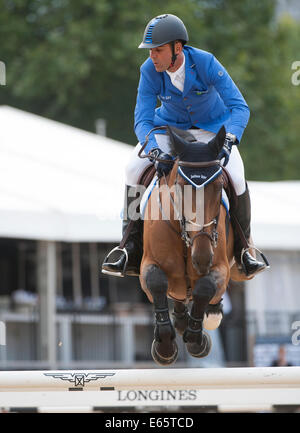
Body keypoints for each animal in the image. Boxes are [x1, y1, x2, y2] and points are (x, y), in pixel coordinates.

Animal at [139, 125, 256, 364]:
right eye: (181, 186)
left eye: (220, 186)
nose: (202, 258)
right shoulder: (147, 264)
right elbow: (156, 282)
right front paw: (165, 348)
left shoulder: (220, 268)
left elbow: (205, 287)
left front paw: (196, 341)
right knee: (177, 297)